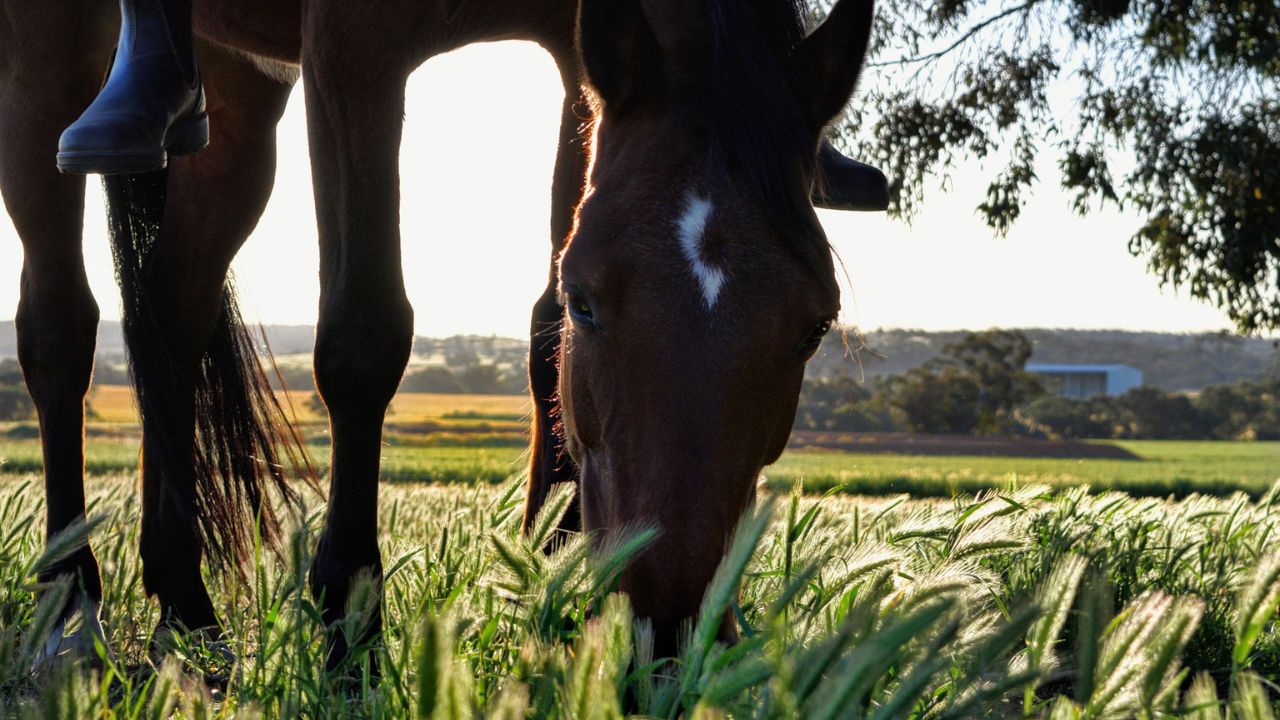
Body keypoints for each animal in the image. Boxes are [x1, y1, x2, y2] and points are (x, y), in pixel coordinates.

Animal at [0, 0, 885, 666]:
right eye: (590, 302)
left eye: (815, 326)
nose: (667, 628)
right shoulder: (353, 42)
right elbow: (364, 333)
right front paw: (349, 625)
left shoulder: (576, 59)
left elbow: (541, 329)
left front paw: (552, 579)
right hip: (49, 44)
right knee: (59, 327)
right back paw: (68, 608)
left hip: (237, 89)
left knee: (171, 310)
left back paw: (185, 611)